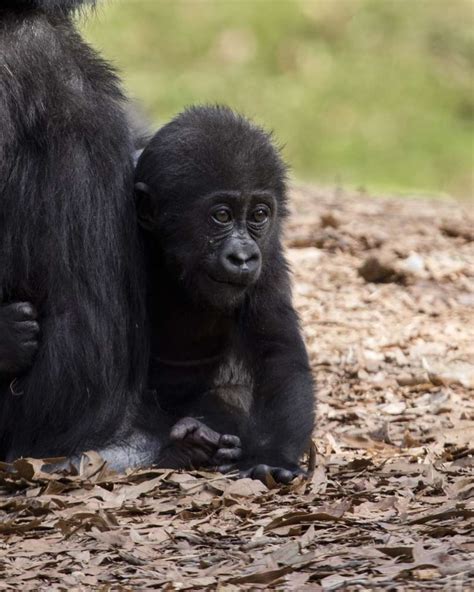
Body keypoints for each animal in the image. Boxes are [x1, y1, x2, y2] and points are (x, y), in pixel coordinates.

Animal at [136, 105, 314, 480]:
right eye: (221, 215)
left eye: (259, 215)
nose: (243, 256)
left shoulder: (269, 258)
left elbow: (279, 355)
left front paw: (274, 456)